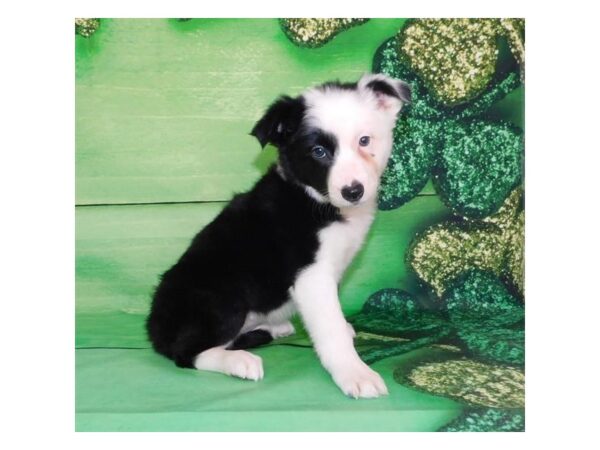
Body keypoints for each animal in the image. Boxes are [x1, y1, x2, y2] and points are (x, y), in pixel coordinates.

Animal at [146, 73, 412, 398]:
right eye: (319, 151)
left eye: (364, 141)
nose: (353, 191)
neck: (317, 201)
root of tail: (154, 329)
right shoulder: (311, 276)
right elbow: (331, 328)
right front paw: (354, 372)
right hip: (222, 299)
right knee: (187, 352)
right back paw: (240, 361)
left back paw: (272, 328)